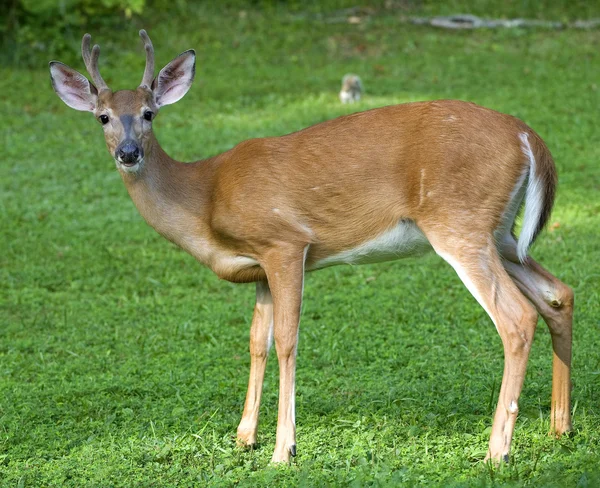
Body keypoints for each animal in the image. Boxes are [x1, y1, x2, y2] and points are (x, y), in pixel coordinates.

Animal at [49, 31, 576, 466]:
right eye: (102, 117)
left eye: (149, 113)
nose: (129, 153)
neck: (205, 196)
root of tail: (528, 136)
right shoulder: (259, 267)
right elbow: (256, 342)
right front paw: (244, 437)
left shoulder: (284, 242)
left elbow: (287, 340)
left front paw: (283, 449)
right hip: (502, 233)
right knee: (558, 294)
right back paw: (560, 427)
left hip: (459, 222)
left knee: (516, 318)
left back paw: (497, 451)